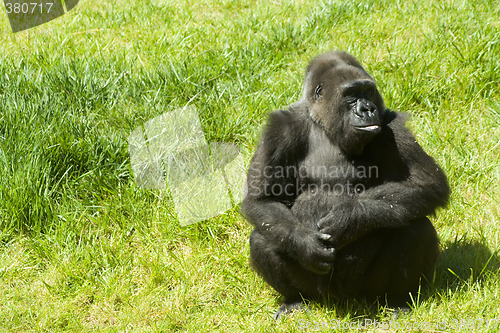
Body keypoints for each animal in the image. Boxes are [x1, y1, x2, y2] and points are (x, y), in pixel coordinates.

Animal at [240, 50, 452, 318]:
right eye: (351, 95)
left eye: (368, 92)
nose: (368, 109)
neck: (324, 125)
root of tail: (340, 302)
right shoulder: (279, 129)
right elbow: (262, 199)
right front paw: (306, 244)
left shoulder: (391, 126)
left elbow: (427, 183)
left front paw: (348, 218)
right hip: (318, 291)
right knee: (263, 237)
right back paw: (295, 299)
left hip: (366, 292)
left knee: (414, 228)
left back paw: (397, 299)